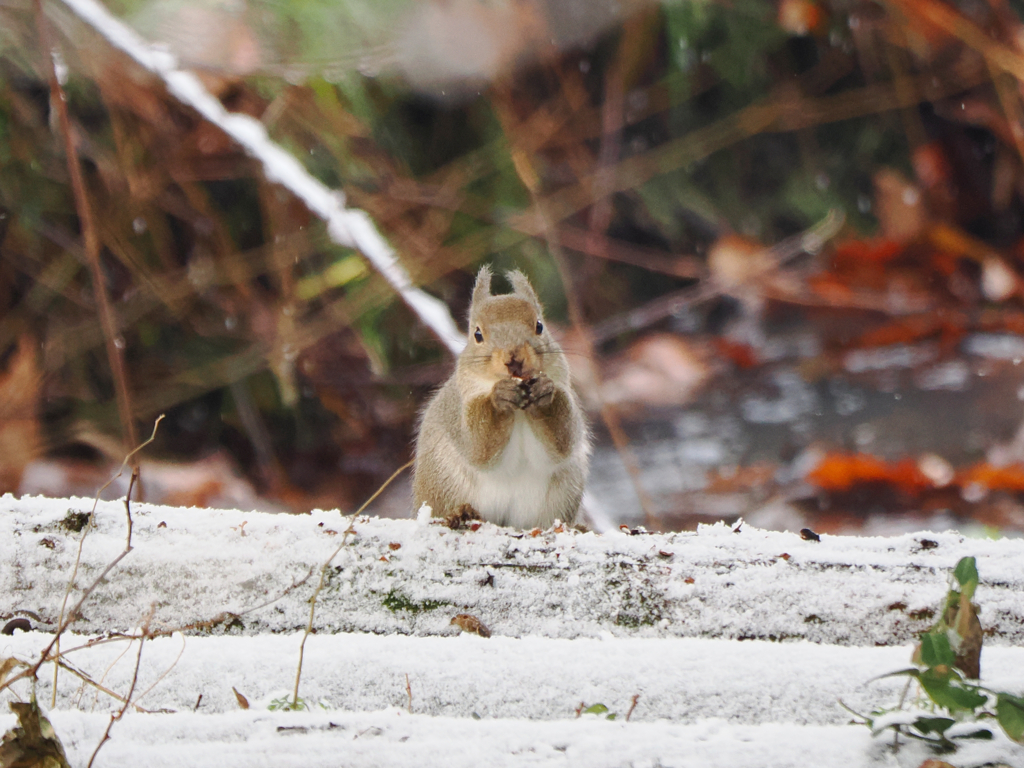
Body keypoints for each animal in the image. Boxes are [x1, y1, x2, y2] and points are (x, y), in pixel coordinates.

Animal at [413, 266, 593, 528]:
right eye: (477, 334)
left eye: (539, 325)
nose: (514, 357)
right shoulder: (460, 408)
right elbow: (479, 447)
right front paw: (499, 398)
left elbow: (562, 443)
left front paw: (544, 393)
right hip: (443, 483)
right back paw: (459, 514)